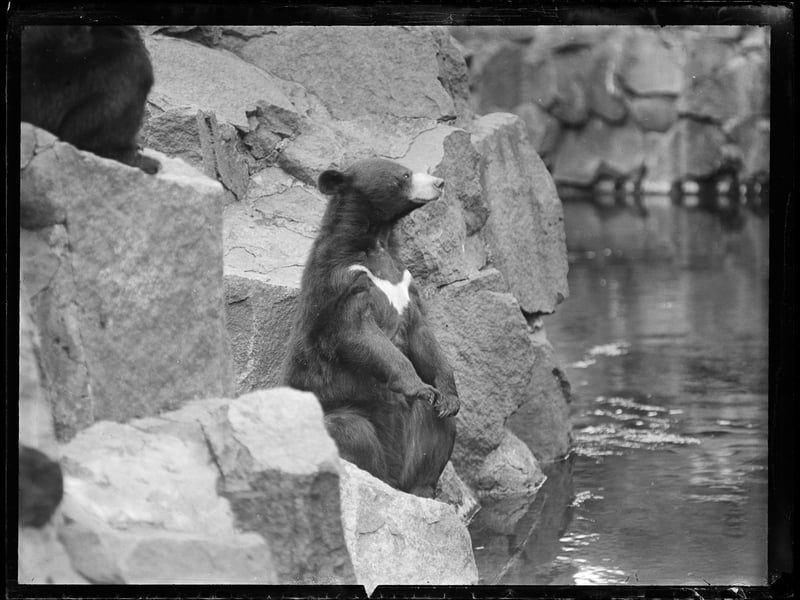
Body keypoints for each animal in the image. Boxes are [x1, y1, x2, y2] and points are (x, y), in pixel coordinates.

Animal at [283, 158, 460, 498]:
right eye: (404, 175)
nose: (440, 183)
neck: (377, 241)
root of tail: (395, 475)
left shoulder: (404, 283)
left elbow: (423, 337)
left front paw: (446, 393)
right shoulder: (343, 284)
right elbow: (361, 335)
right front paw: (418, 385)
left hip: (416, 436)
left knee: (439, 428)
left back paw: (422, 485)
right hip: (341, 410)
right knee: (353, 432)